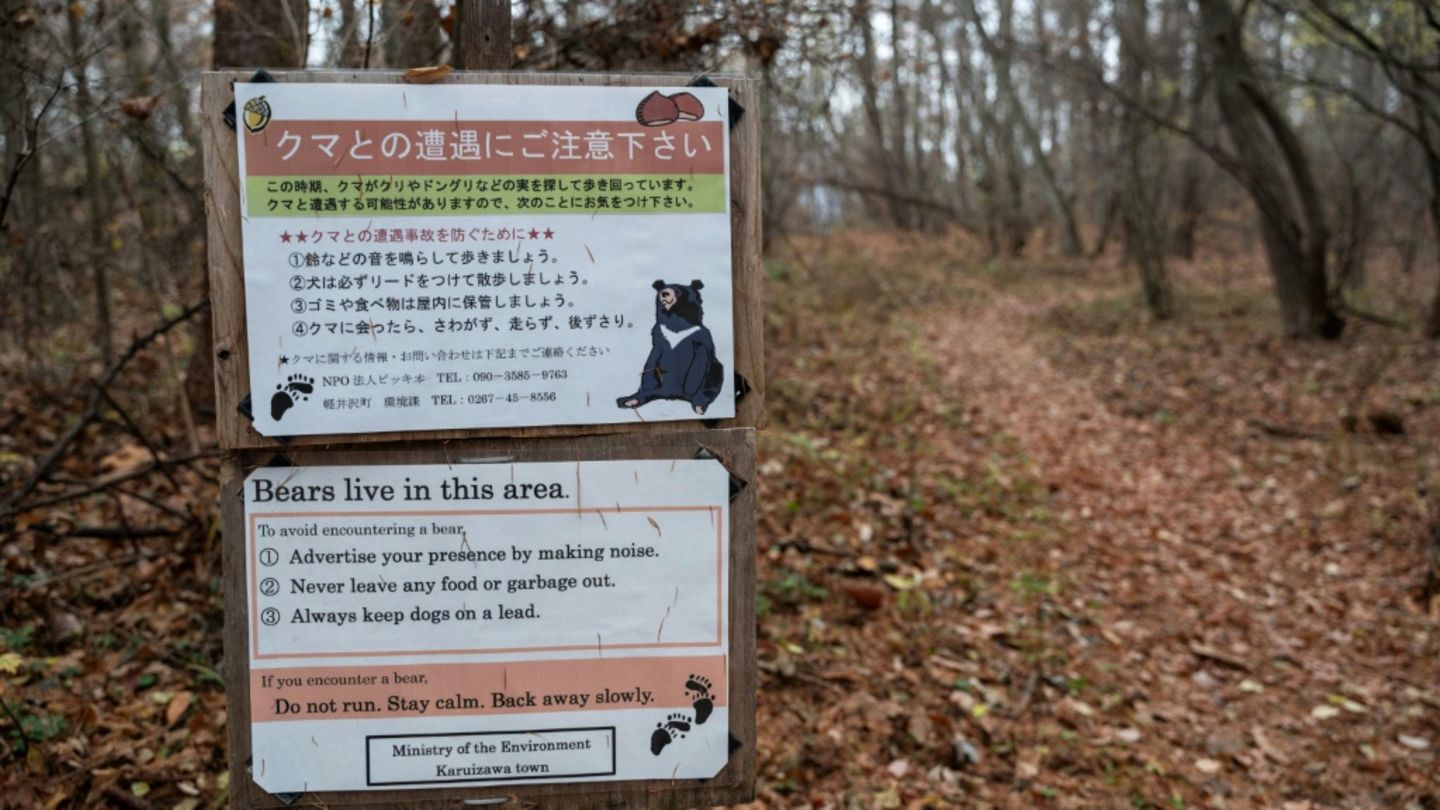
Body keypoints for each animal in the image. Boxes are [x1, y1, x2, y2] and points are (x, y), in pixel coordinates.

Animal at [617, 279, 725, 415]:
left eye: (679, 291)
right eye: (663, 289)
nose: (665, 293)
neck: (675, 321)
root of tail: (670, 395)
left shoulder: (701, 336)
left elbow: (700, 359)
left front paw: (690, 390)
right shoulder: (659, 334)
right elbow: (651, 359)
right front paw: (644, 387)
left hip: (714, 372)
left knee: (711, 383)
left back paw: (698, 405)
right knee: (646, 391)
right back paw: (629, 400)